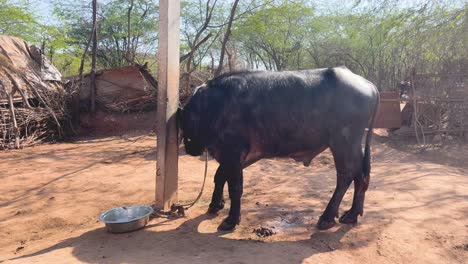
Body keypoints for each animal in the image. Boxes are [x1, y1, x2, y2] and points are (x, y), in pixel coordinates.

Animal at [178, 66, 380, 231]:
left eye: (185, 124)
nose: (190, 148)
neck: (214, 105)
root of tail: (369, 85)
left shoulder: (233, 153)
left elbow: (235, 187)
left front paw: (231, 220)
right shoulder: (242, 156)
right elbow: (220, 176)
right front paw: (215, 204)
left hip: (343, 143)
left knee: (346, 176)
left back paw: (328, 217)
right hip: (352, 145)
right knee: (361, 175)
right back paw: (352, 214)